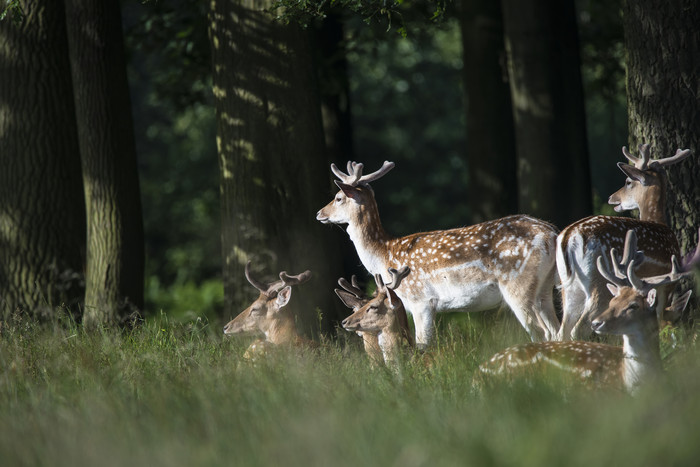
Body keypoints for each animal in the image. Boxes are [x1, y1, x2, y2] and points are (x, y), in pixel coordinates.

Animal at [318, 161, 564, 348]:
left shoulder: (421, 299)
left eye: (338, 197)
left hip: (518, 285)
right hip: (544, 289)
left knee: (542, 332)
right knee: (557, 331)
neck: (384, 254)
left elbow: (423, 344)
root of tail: (552, 233)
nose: (320, 213)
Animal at [556, 144, 692, 340]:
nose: (612, 198)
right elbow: (657, 318)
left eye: (628, 182)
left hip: (568, 287)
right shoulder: (666, 283)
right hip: (598, 281)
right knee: (580, 328)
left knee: (561, 331)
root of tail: (569, 236)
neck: (658, 221)